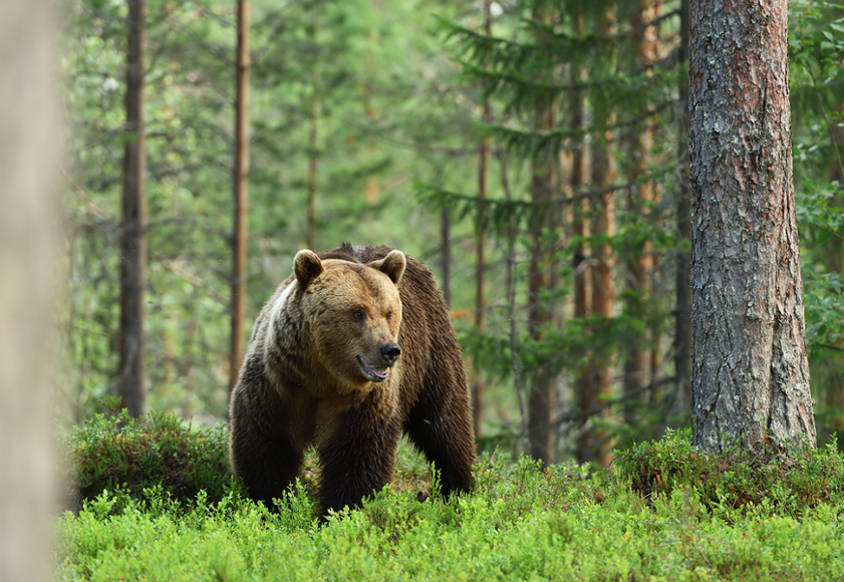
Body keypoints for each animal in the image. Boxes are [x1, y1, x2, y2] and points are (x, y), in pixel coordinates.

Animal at [229, 243, 475, 516]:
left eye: (389, 312)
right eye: (358, 312)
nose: (390, 350)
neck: (322, 377)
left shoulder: (361, 401)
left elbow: (358, 456)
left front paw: (340, 511)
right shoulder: (278, 386)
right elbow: (267, 448)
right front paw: (268, 504)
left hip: (431, 350)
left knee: (445, 422)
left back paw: (459, 490)